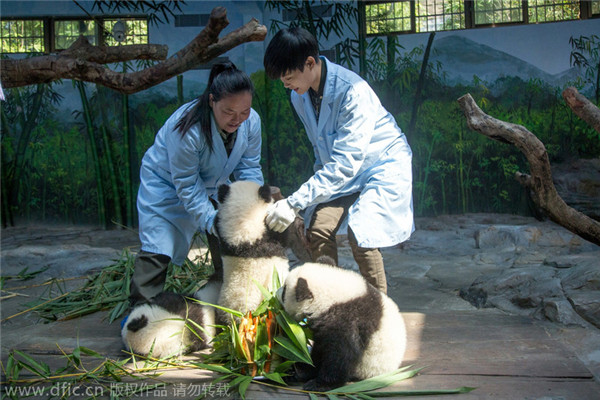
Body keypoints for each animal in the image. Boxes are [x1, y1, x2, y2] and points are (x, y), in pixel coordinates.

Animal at [276, 262, 408, 390]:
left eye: (284, 290)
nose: (275, 293)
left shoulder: (347, 319)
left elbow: (341, 353)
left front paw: (320, 384)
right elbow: (320, 348)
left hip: (368, 366)